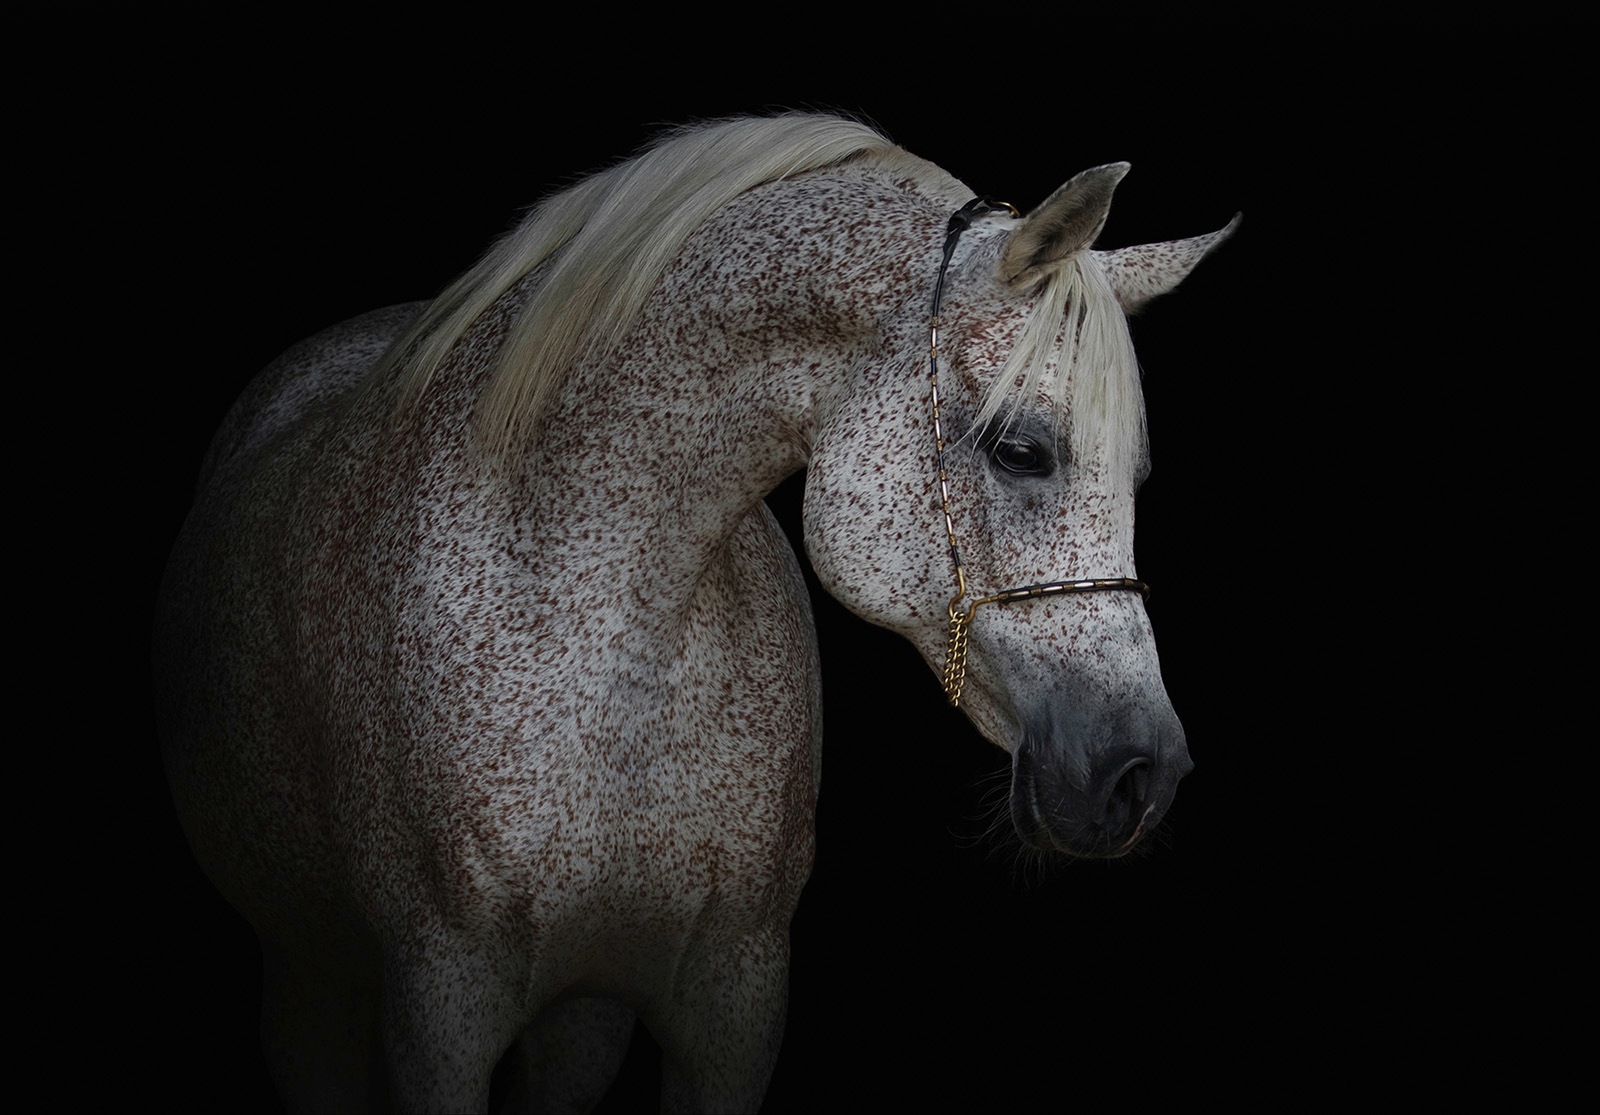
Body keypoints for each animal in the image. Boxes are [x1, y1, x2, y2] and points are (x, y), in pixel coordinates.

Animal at [154, 113, 1235, 1113]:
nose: (1144, 772)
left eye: (1136, 477)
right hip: (309, 981)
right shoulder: (437, 1011)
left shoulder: (732, 997)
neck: (614, 644)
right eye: (1021, 450)